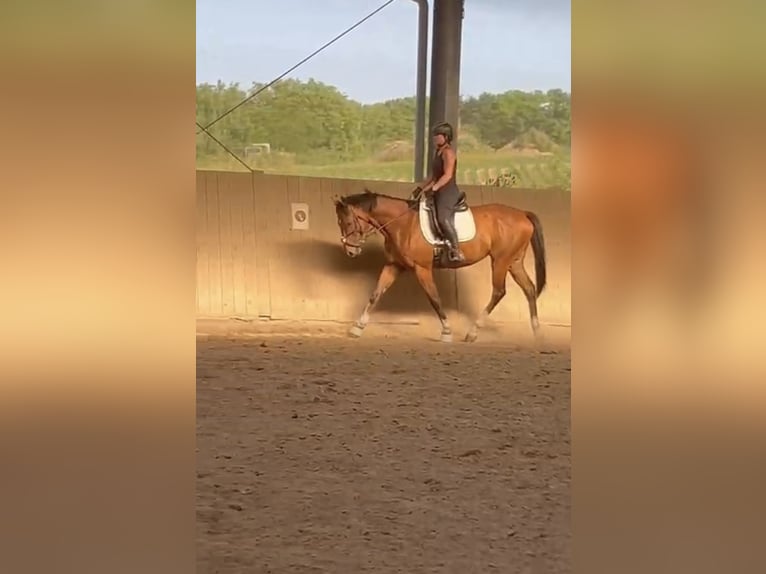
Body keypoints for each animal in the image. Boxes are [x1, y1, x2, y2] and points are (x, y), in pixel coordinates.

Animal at [332, 189, 547, 343]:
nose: (351, 252)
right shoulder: (394, 265)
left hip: (500, 260)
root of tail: (522, 214)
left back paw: (472, 333)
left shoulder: (422, 268)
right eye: (340, 222)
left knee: (499, 292)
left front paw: (447, 332)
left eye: (348, 222)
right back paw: (537, 332)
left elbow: (434, 298)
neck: (403, 223)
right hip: (514, 262)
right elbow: (376, 294)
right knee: (529, 288)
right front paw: (357, 328)